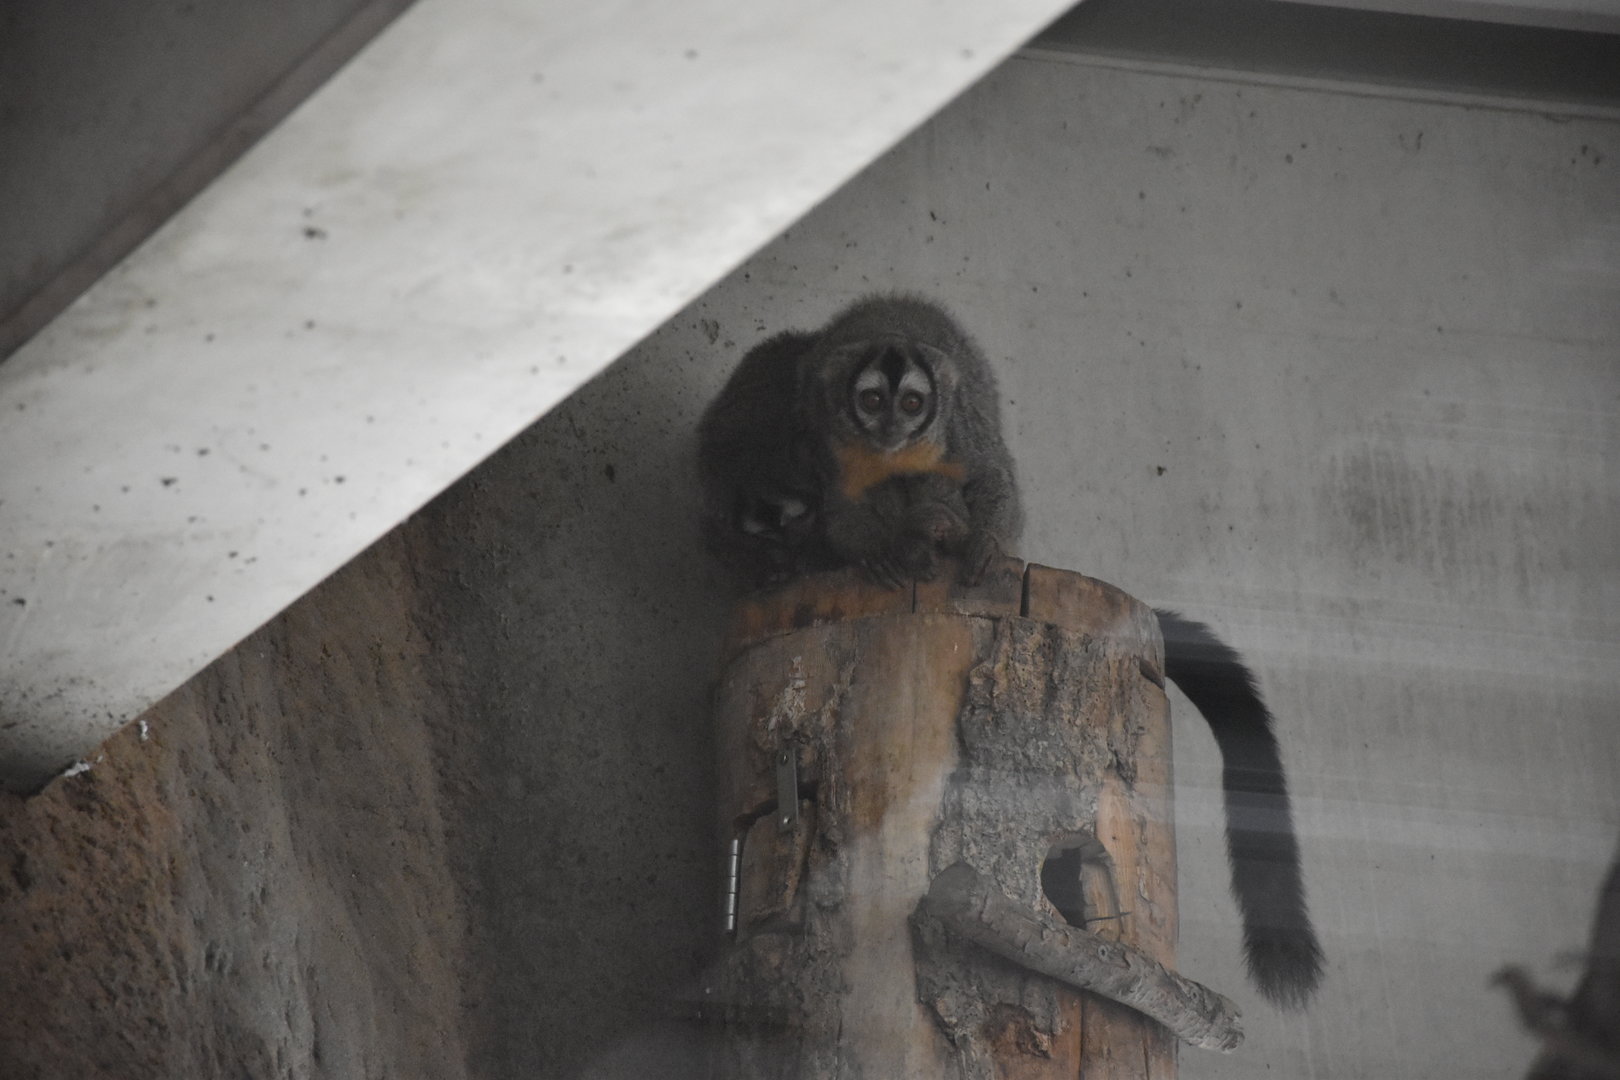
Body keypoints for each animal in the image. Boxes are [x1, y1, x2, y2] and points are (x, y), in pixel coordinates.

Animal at [695, 293, 1324, 1008]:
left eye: (911, 402)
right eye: (871, 400)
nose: (891, 426)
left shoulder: (954, 432)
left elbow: (990, 475)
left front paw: (977, 543)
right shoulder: (829, 449)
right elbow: (845, 511)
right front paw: (884, 552)